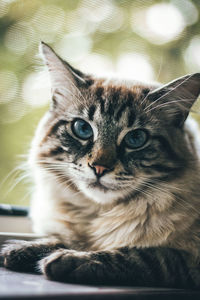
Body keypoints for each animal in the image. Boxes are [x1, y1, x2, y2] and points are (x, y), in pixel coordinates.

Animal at [1, 42, 200, 288]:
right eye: (82, 129)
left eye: (136, 139)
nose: (99, 168)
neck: (99, 213)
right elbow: (60, 239)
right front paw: (20, 250)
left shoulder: (187, 260)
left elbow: (137, 254)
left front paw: (66, 260)